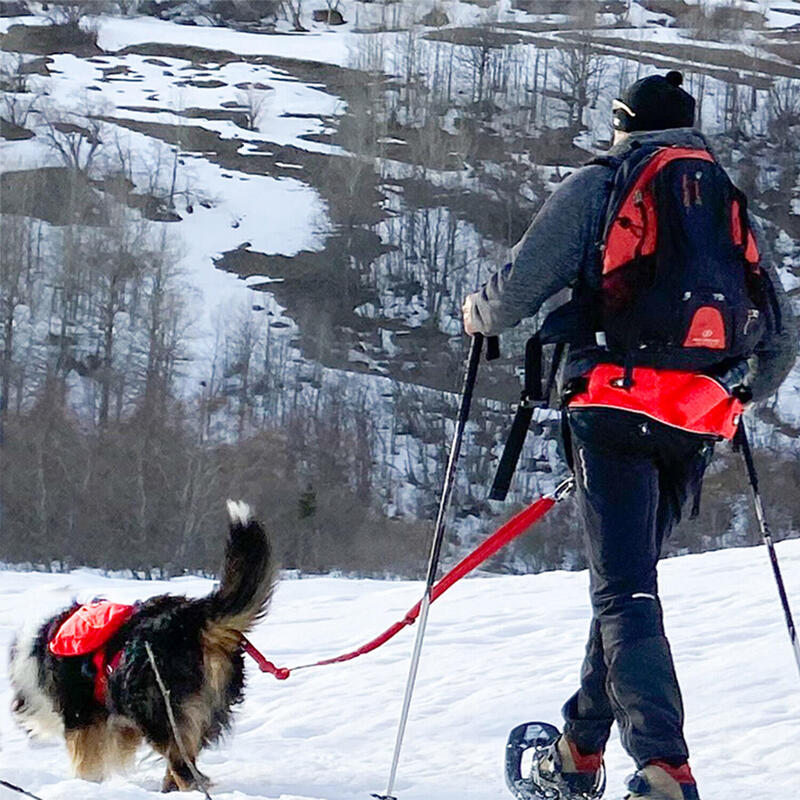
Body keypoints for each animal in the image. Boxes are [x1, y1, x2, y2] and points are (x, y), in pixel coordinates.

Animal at [7, 504, 276, 792]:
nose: (19, 714)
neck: (36, 655)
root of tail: (193, 617)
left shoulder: (83, 718)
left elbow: (86, 763)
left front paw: (84, 785)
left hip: (155, 708)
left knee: (183, 767)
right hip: (205, 708)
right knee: (184, 759)